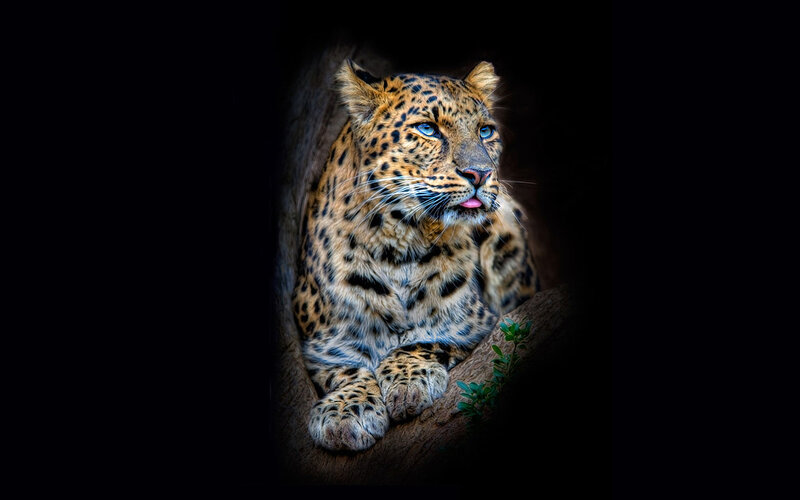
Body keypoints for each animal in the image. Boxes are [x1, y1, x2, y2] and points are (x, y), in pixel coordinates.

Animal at [291, 59, 539, 451]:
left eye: (485, 131)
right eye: (428, 129)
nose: (481, 173)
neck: (399, 244)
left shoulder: (477, 323)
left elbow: (426, 340)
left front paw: (409, 381)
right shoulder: (321, 344)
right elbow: (345, 368)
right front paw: (346, 410)